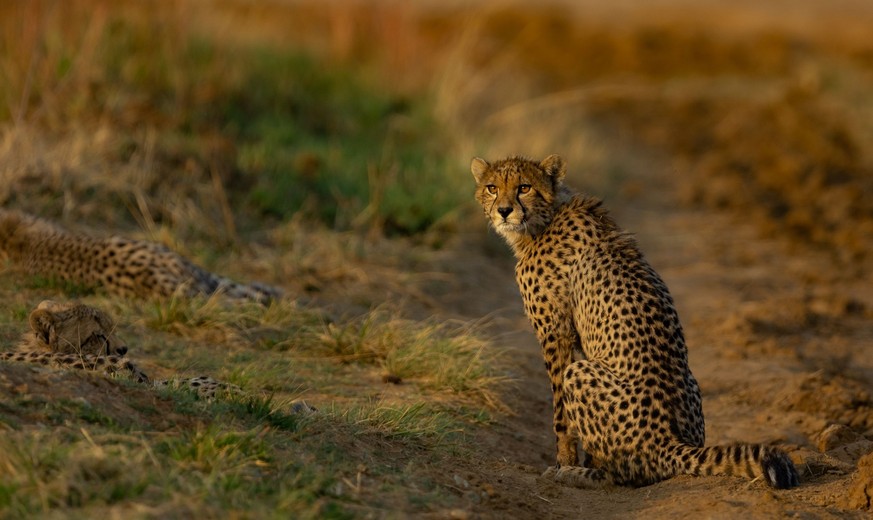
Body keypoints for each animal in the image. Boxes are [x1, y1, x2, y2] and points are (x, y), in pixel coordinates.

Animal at [470, 153, 796, 488]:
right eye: (492, 188)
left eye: (524, 187)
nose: (504, 211)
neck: (544, 220)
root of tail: (670, 441)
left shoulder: (555, 333)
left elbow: (559, 413)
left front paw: (564, 462)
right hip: (691, 383)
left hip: (580, 372)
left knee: (621, 475)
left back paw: (580, 474)